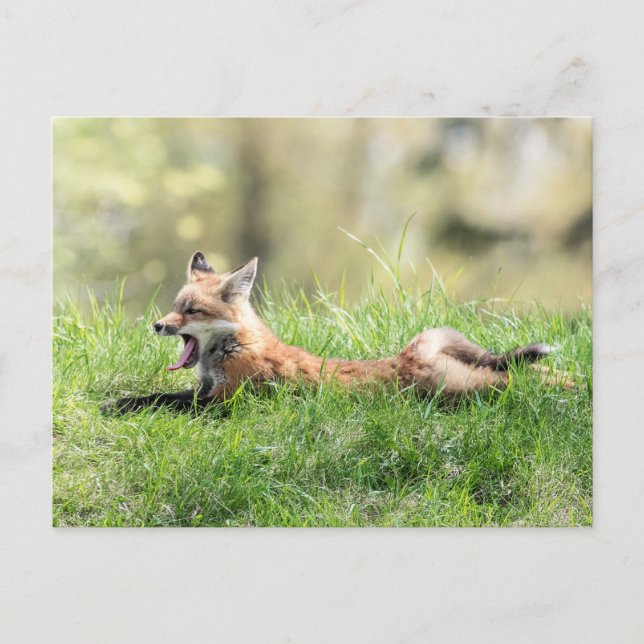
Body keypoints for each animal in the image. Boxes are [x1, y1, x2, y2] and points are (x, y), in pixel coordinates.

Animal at [101, 251, 573, 414]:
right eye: (174, 307)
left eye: (191, 311)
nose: (157, 324)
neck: (233, 348)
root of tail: (408, 355)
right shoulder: (203, 392)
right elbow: (154, 395)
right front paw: (119, 401)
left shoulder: (223, 402)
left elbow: (162, 402)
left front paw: (119, 406)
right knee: (518, 371)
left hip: (465, 389)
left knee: (514, 378)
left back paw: (566, 385)